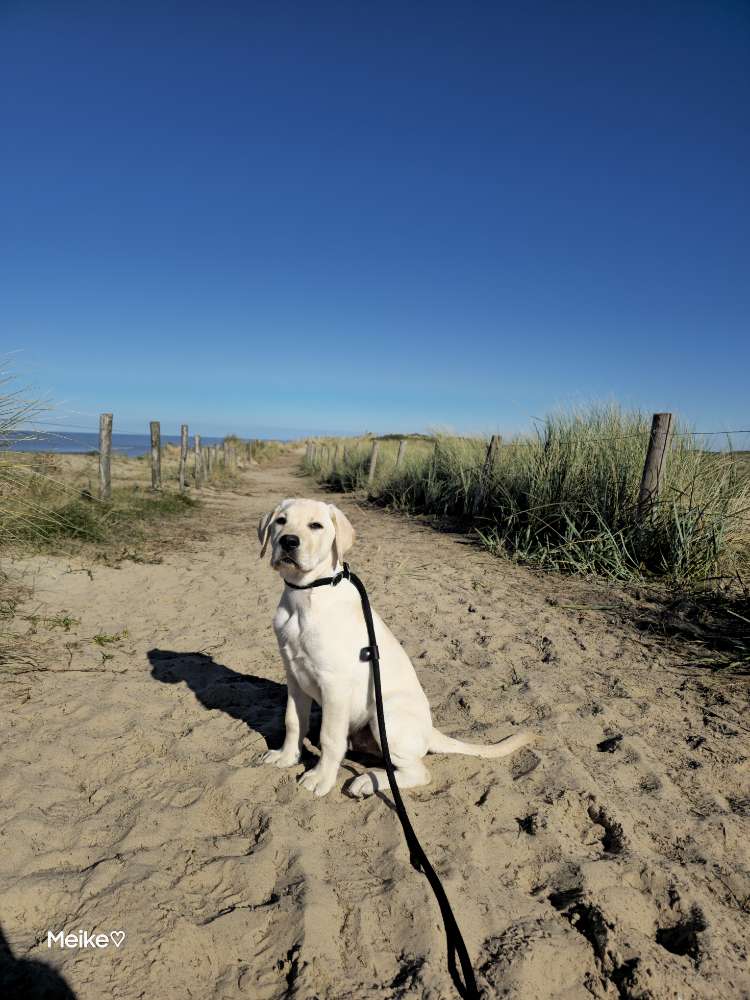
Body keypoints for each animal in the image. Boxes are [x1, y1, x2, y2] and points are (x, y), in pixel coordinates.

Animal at [262, 498, 532, 796]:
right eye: (281, 521)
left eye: (316, 526)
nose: (288, 541)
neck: (305, 595)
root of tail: (430, 730)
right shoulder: (294, 676)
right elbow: (293, 721)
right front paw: (287, 756)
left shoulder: (335, 684)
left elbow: (329, 737)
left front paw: (320, 777)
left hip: (386, 717)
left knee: (418, 772)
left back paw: (367, 781)